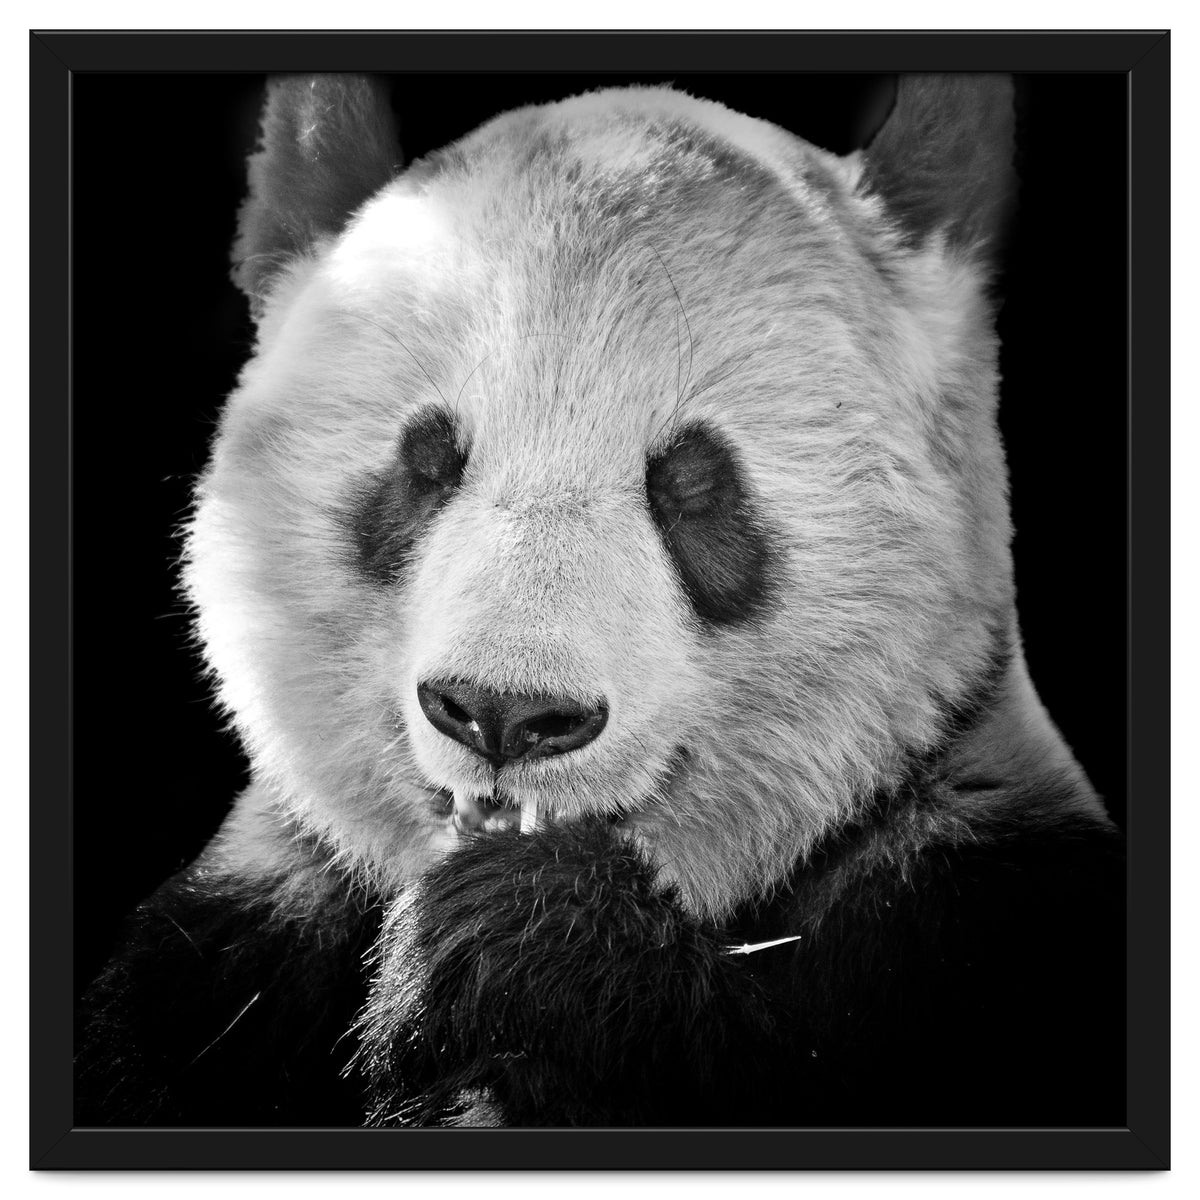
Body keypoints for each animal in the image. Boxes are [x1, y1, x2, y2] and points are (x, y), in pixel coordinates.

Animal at [75, 73, 1124, 1128]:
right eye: (427, 462)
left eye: (693, 484)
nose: (504, 713)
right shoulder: (229, 953)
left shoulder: (977, 911)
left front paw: (523, 942)